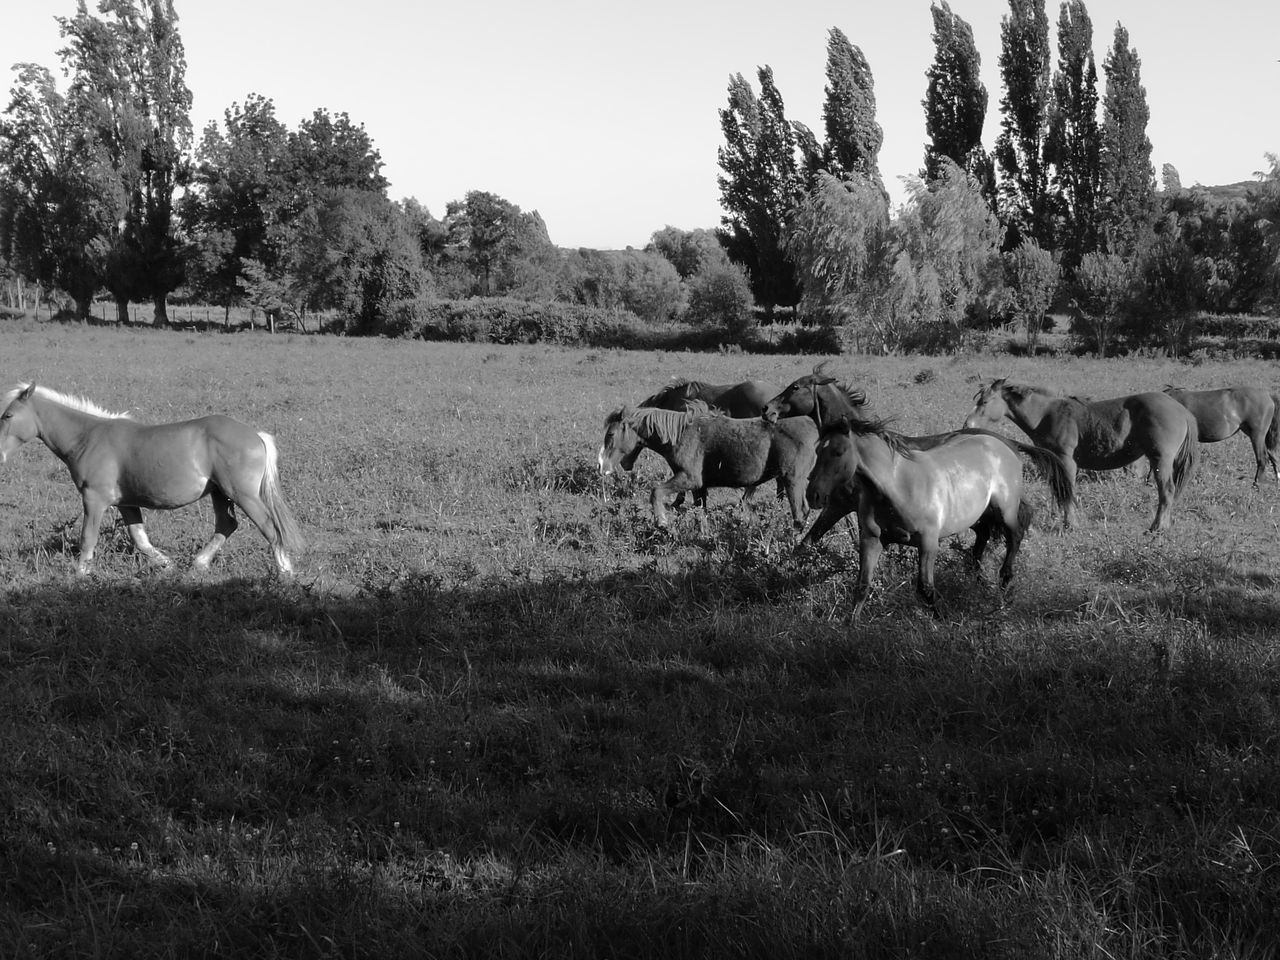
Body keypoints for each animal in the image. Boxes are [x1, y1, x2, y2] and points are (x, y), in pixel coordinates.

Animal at [0, 386, 304, 578]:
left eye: (8, 415)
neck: (87, 438)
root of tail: (256, 436)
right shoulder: (126, 504)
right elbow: (140, 539)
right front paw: (166, 564)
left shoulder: (94, 499)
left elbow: (88, 538)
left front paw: (80, 574)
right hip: (220, 493)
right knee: (226, 525)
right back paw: (198, 564)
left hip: (243, 494)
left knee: (270, 528)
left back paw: (285, 572)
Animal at [593, 404, 814, 529]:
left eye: (611, 434)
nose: (601, 465)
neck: (681, 435)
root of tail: (813, 427)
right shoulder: (699, 488)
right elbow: (701, 513)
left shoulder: (690, 479)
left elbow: (656, 491)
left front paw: (662, 522)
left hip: (792, 481)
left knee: (799, 514)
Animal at [803, 419, 1075, 616]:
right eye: (816, 450)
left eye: (838, 451)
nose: (812, 495)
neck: (898, 486)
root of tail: (1007, 444)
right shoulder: (871, 540)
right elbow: (861, 586)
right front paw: (850, 626)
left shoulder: (928, 542)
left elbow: (926, 589)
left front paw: (945, 620)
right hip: (979, 514)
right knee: (984, 537)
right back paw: (980, 580)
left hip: (1005, 510)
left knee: (1015, 535)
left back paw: (1004, 583)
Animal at [967, 378, 1198, 535]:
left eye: (985, 401)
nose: (968, 424)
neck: (1046, 415)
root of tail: (1182, 410)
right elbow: (1057, 491)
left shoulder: (1066, 461)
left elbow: (1067, 491)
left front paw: (1071, 525)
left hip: (1161, 460)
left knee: (1167, 491)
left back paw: (1157, 528)